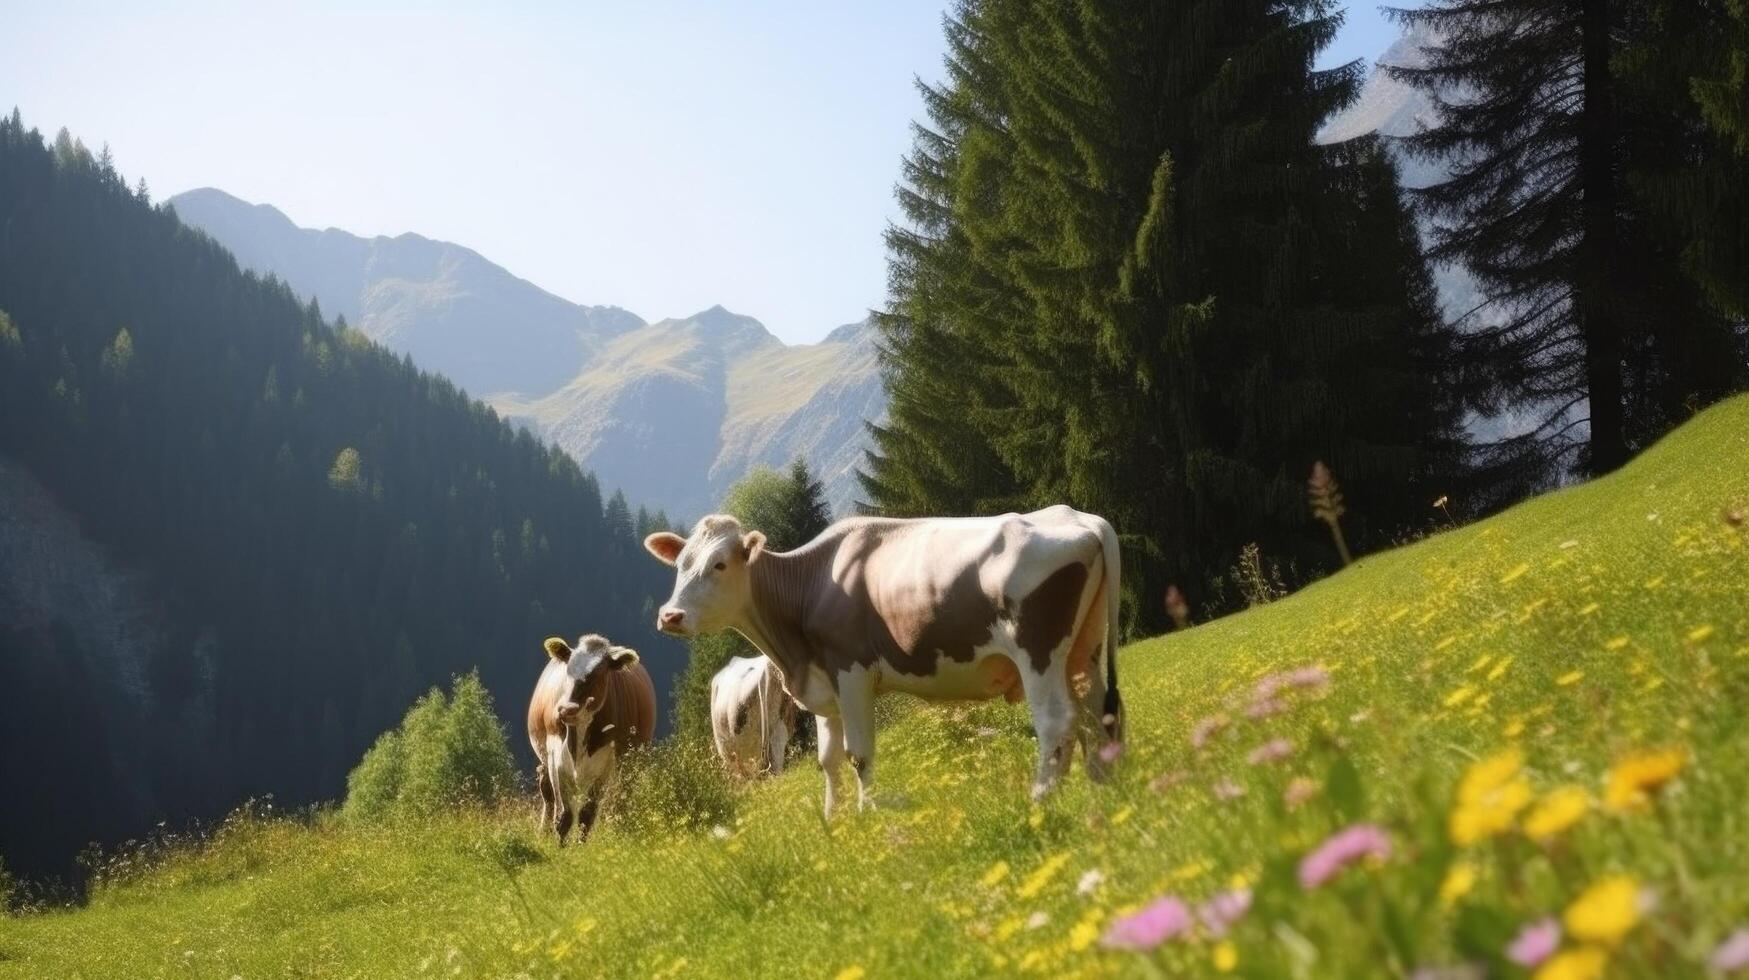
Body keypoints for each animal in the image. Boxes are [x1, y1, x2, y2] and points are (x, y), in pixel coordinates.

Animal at [524, 637, 657, 843]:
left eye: (598, 674)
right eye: (568, 670)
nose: (567, 709)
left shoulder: (606, 764)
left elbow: (587, 814)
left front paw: (581, 845)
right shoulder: (555, 756)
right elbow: (563, 815)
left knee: (622, 800)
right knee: (547, 792)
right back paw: (543, 832)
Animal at [643, 504, 1119, 812]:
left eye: (720, 564)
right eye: (681, 564)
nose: (670, 615)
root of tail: (1082, 518)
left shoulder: (851, 673)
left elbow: (858, 755)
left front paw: (866, 816)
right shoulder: (826, 688)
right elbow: (828, 760)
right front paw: (833, 822)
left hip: (1039, 651)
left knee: (1057, 721)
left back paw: (1041, 799)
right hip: (1084, 649)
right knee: (1097, 713)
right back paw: (1103, 786)